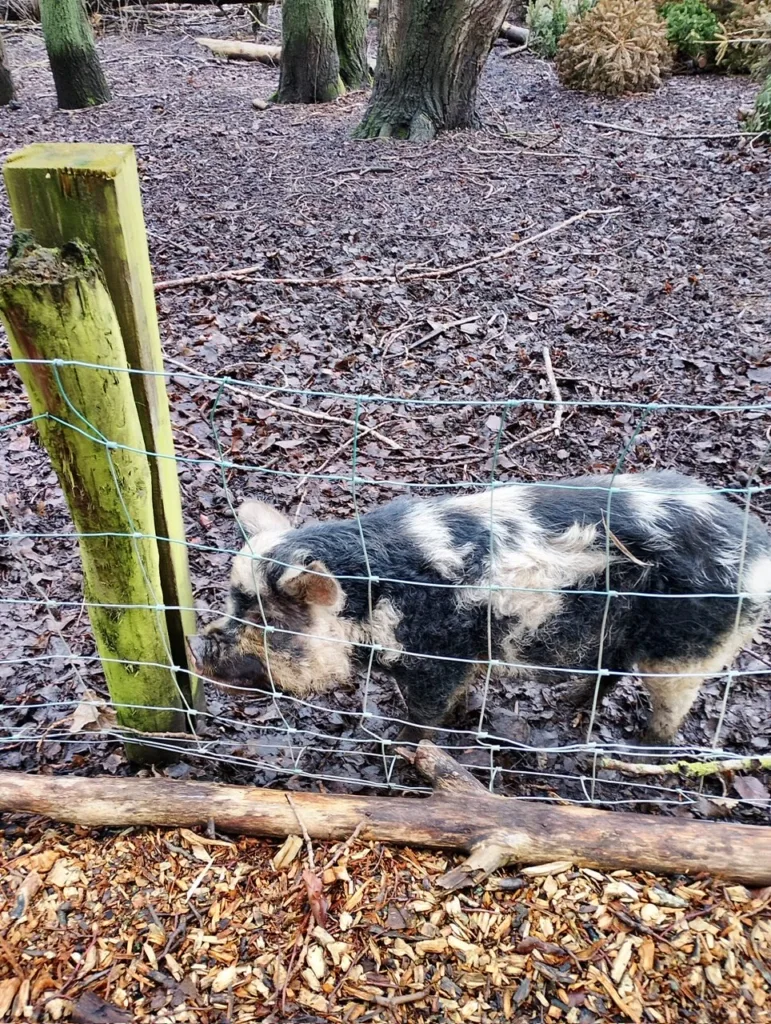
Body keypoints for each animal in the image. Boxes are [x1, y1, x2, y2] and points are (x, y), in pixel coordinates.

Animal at [186, 471, 771, 744]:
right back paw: (568, 707)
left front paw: (401, 751)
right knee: (611, 670)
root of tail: (758, 552)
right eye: (231, 600)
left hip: (684, 652)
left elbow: (423, 715)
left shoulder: (437, 656)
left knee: (670, 708)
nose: (195, 643)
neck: (374, 602)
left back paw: (635, 746)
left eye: (265, 619)